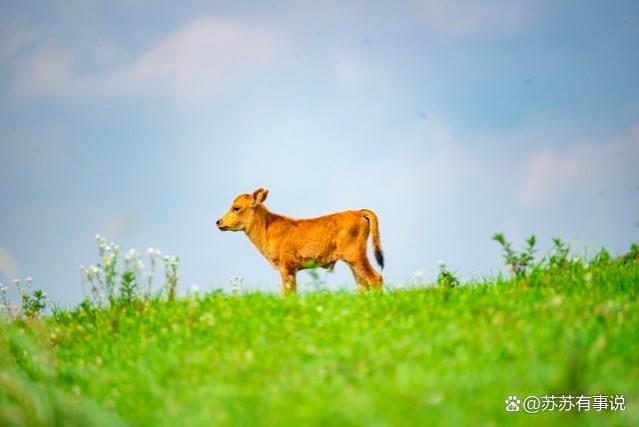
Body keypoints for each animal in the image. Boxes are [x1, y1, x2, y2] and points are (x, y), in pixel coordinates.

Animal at [218, 189, 382, 296]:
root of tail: (358, 212)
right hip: (353, 261)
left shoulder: (286, 267)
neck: (267, 228)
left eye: (236, 208)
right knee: (362, 285)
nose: (218, 222)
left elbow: (287, 293)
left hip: (355, 256)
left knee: (375, 279)